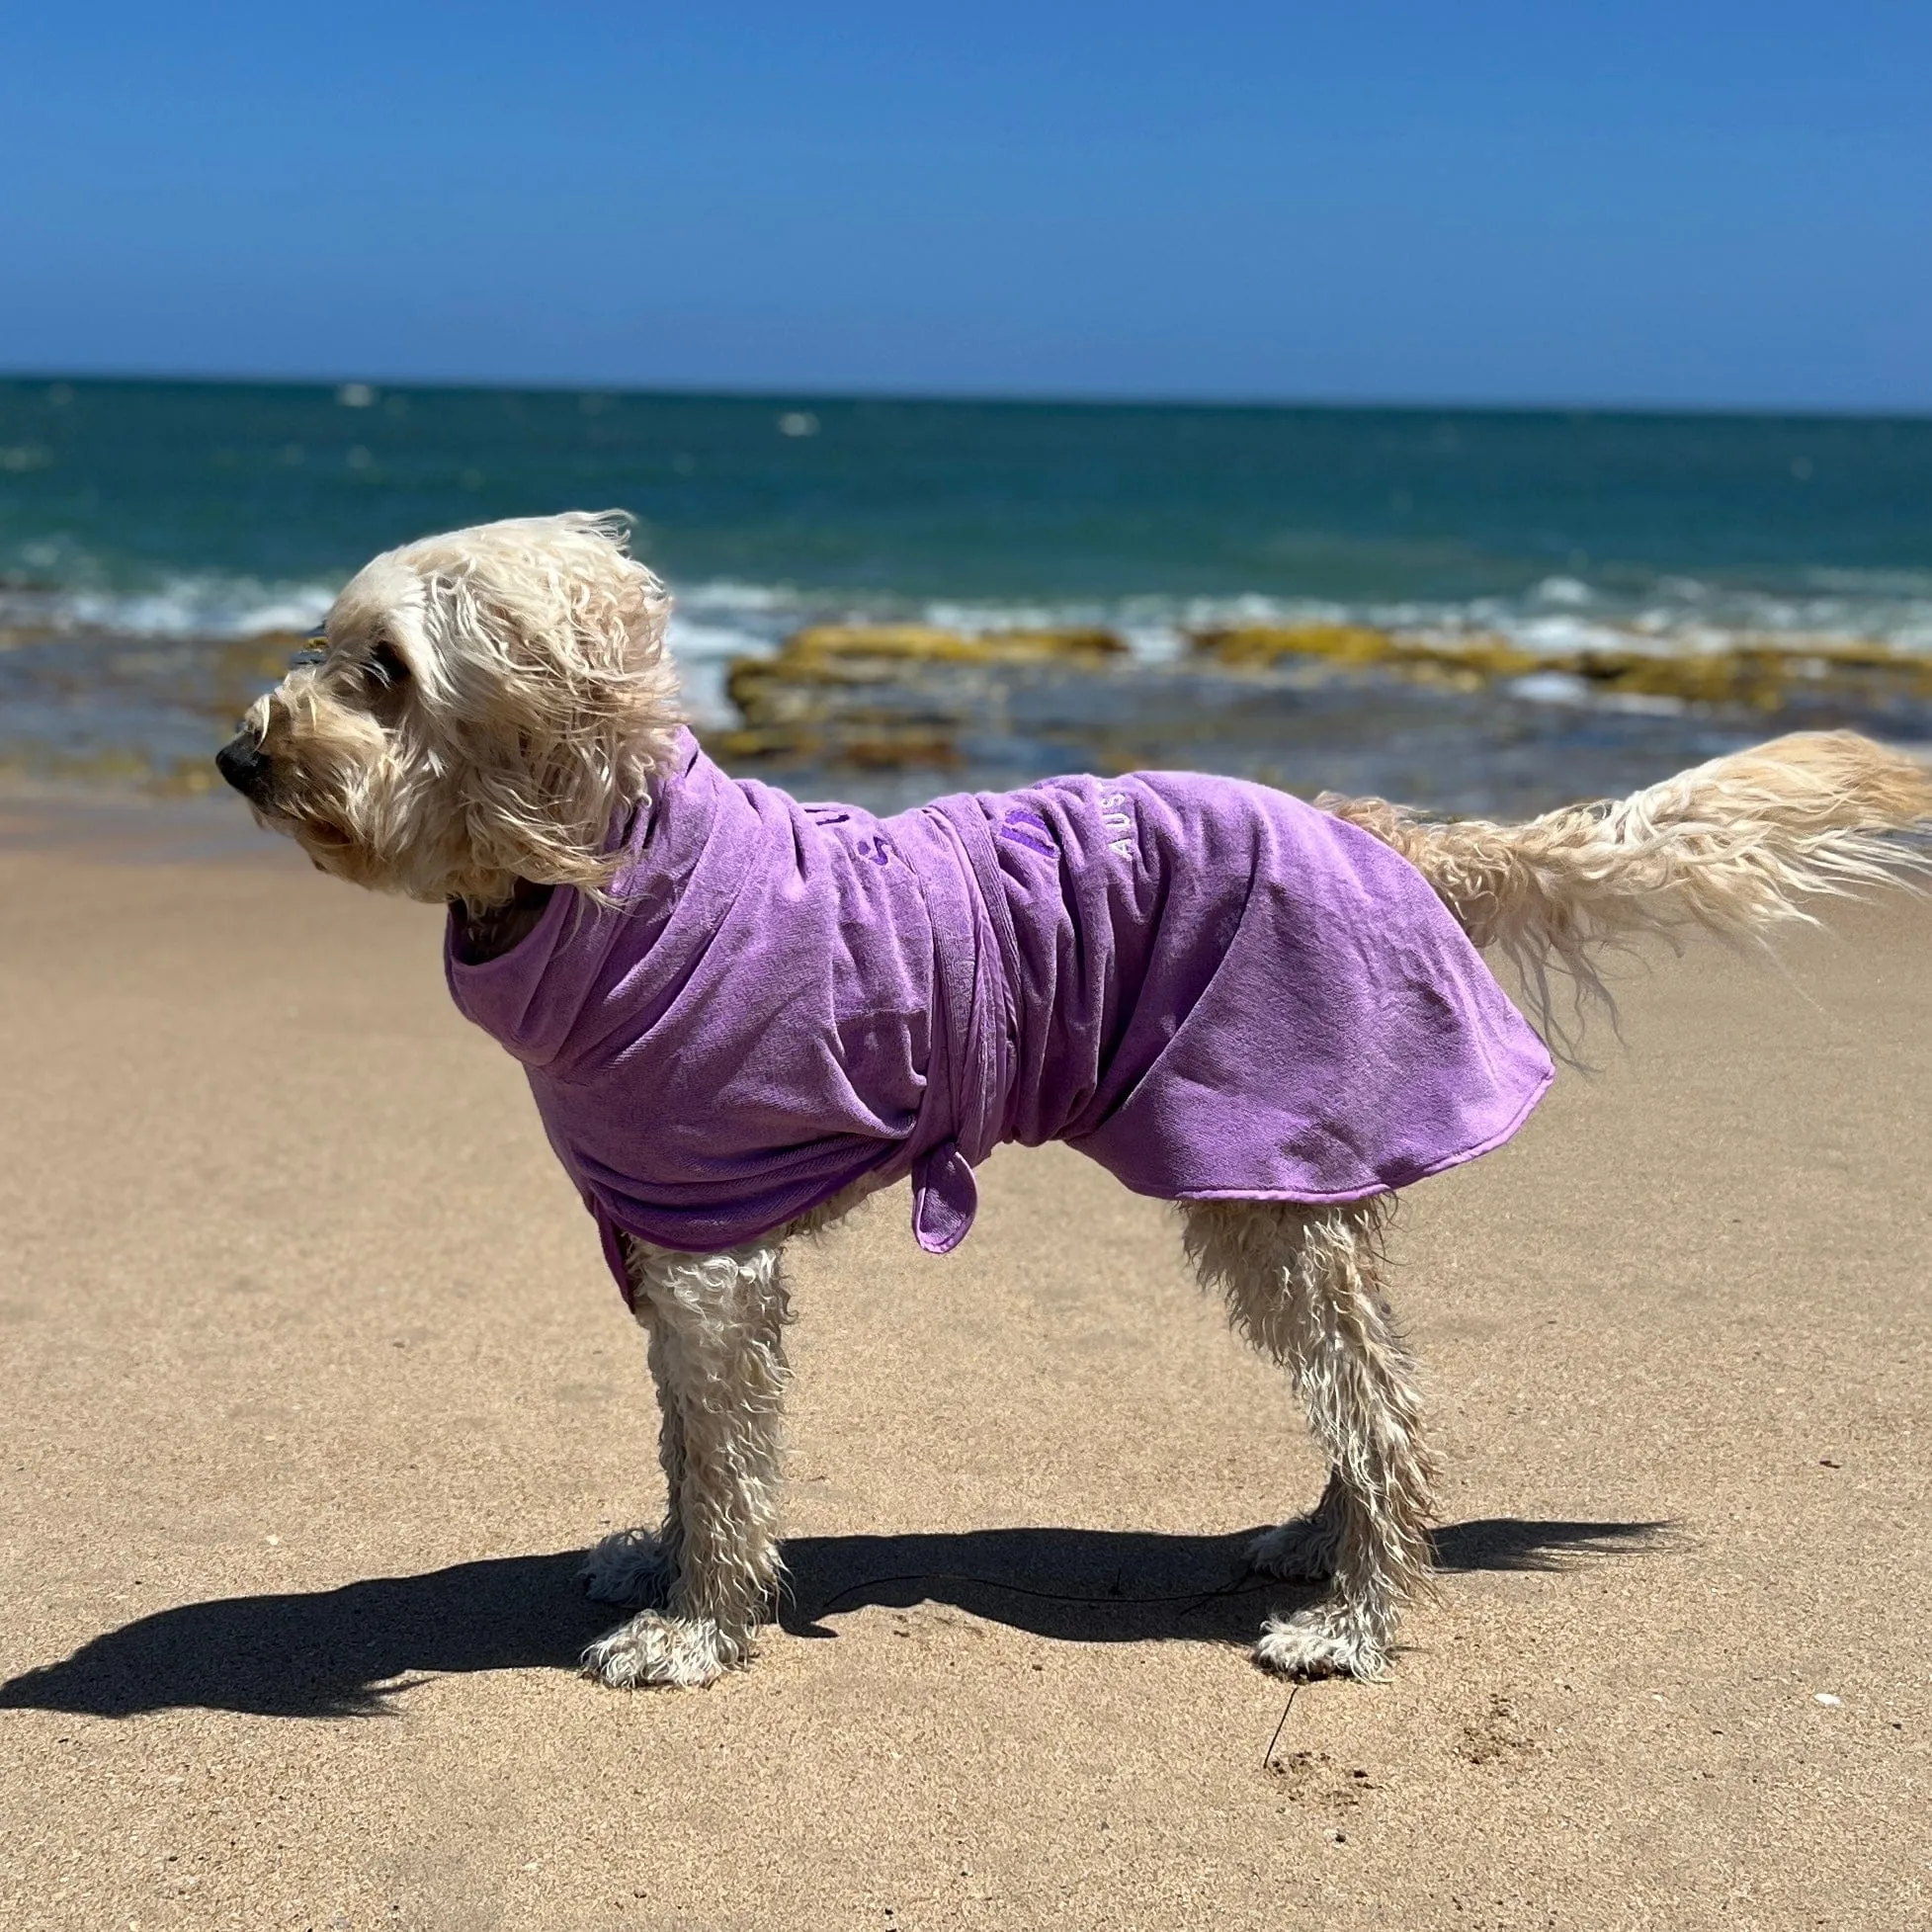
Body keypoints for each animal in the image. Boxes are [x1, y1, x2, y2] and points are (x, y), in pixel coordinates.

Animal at [214, 510, 1932, 1692]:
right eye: (325, 648)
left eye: (384, 671)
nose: (237, 754)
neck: (610, 875)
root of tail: (1368, 825)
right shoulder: (659, 1235)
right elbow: (685, 1443)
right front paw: (668, 1556)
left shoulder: (712, 1255)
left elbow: (726, 1446)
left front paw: (698, 1623)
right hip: (1292, 1190)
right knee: (1359, 1387)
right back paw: (1319, 1539)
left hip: (1262, 1170)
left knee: (1382, 1400)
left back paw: (1358, 1611)